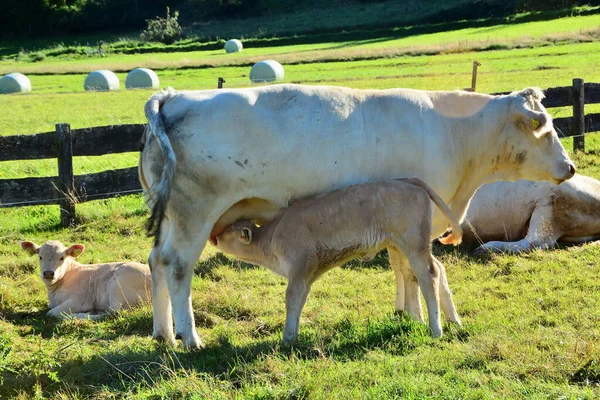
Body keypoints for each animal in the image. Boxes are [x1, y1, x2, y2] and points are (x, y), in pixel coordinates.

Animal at [21, 241, 152, 318]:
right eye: (40, 257)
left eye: (62, 258)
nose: (48, 273)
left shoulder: (80, 300)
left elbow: (51, 313)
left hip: (117, 285)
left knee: (113, 313)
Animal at [216, 177, 464, 342]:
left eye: (227, 232)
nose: (215, 236)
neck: (273, 236)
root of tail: (408, 180)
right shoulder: (306, 274)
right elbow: (300, 300)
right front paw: (294, 334)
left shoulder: (299, 266)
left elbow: (292, 299)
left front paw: (287, 338)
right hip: (405, 245)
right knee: (435, 269)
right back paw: (455, 321)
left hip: (413, 244)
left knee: (428, 274)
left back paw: (436, 329)